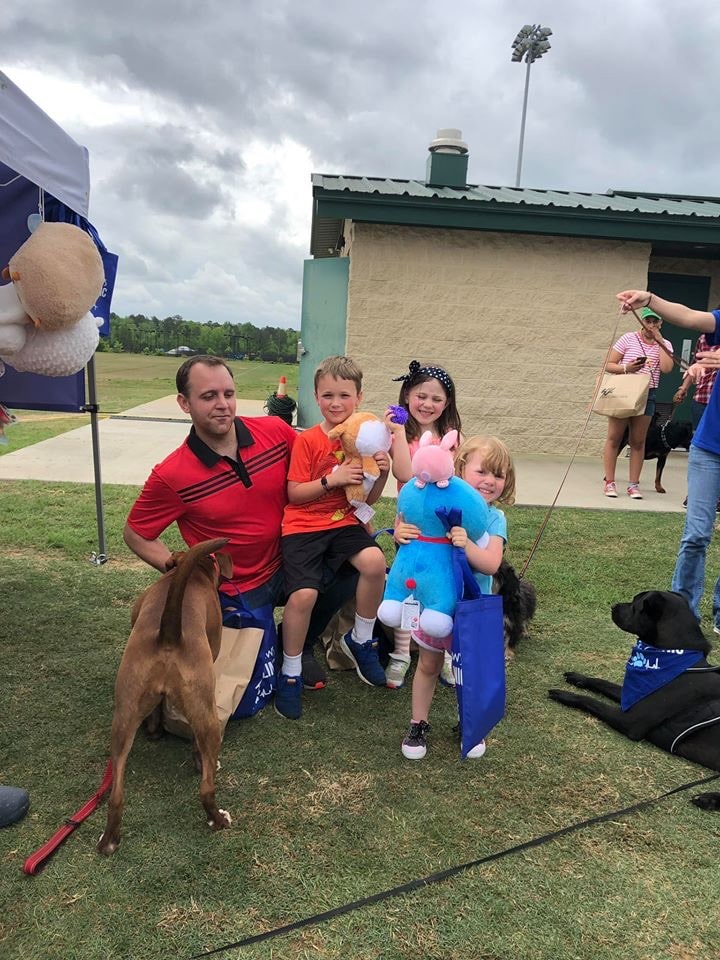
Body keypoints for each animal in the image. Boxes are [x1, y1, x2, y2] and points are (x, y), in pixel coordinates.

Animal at [97, 537, 234, 855]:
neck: (194, 573)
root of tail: (169, 633)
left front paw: (155, 729)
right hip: (207, 715)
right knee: (206, 786)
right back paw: (218, 818)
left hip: (123, 716)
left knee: (116, 794)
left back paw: (109, 841)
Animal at [549, 591, 720, 772]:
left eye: (634, 605)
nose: (613, 605)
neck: (671, 655)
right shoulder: (633, 695)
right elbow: (603, 682)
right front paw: (580, 678)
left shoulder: (631, 721)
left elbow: (590, 700)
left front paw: (564, 695)